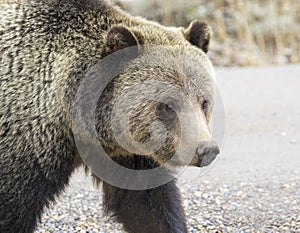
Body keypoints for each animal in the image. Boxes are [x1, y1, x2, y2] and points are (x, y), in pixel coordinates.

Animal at [0, 0, 220, 233]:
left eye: (204, 102)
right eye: (168, 105)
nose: (206, 149)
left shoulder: (128, 152)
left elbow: (146, 204)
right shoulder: (28, 144)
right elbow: (14, 207)